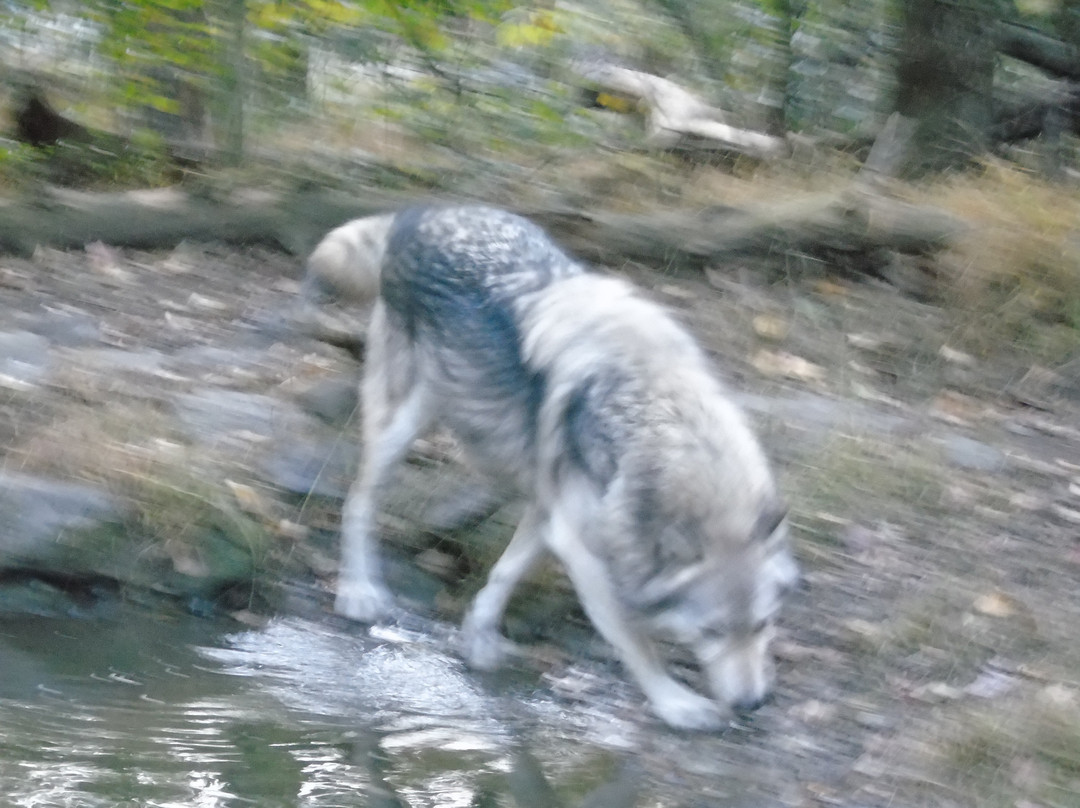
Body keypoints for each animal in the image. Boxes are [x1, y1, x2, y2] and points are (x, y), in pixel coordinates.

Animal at [303, 205, 799, 731]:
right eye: (710, 631)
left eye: (763, 624)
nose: (753, 703)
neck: (655, 420)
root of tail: (416, 213)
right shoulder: (581, 548)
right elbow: (636, 641)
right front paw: (676, 703)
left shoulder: (551, 512)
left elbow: (504, 574)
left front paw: (478, 638)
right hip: (406, 421)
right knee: (359, 499)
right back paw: (358, 590)